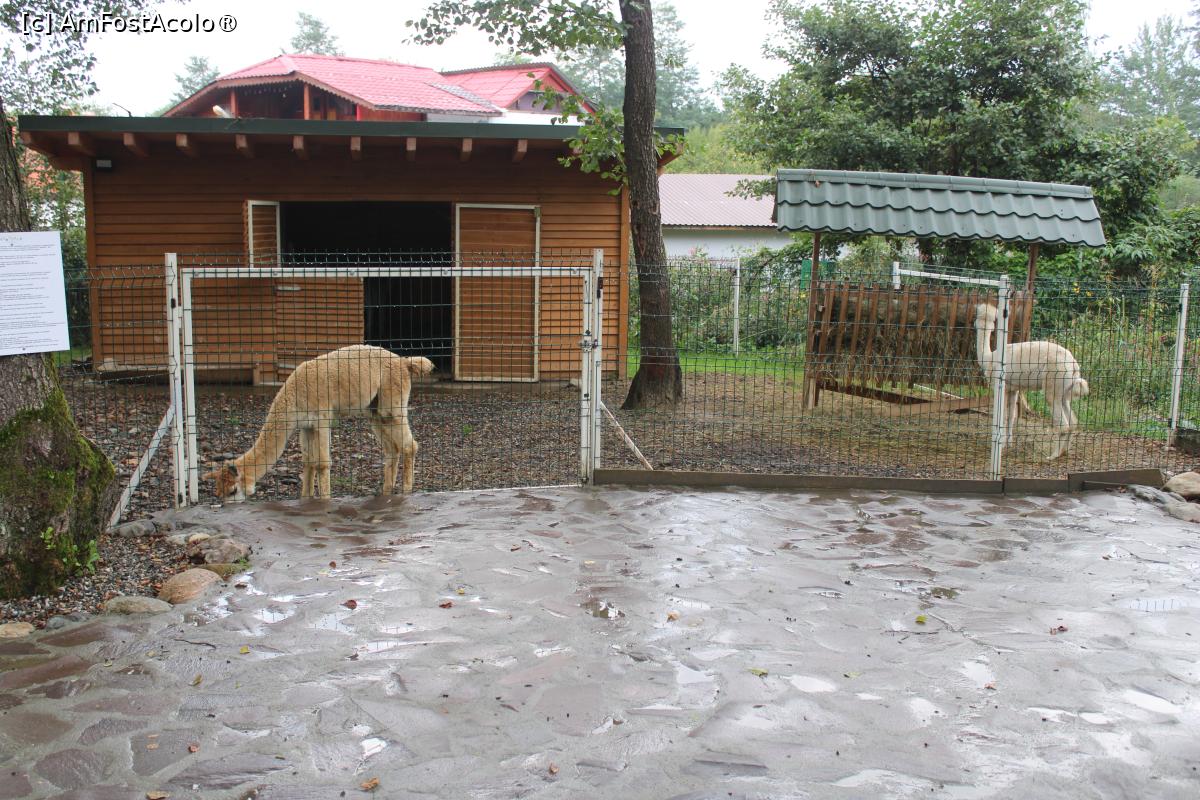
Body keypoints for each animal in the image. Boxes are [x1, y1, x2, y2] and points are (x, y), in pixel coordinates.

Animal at [204, 345, 434, 501]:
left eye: (233, 490)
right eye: (218, 492)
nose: (229, 506)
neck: (294, 396)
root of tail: (403, 361)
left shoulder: (322, 417)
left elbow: (323, 463)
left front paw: (325, 499)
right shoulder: (306, 425)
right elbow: (309, 461)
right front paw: (305, 498)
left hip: (391, 405)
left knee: (409, 445)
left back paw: (406, 491)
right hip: (374, 411)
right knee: (392, 449)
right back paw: (385, 492)